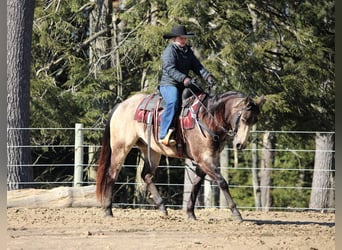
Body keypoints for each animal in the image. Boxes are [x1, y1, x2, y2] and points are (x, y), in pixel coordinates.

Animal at [95, 87, 266, 222]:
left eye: (255, 120)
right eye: (244, 118)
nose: (240, 144)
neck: (207, 118)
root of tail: (121, 105)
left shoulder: (205, 160)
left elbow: (196, 185)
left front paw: (190, 213)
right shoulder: (204, 160)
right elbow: (222, 182)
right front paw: (237, 213)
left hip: (152, 150)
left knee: (146, 175)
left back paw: (163, 208)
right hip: (121, 148)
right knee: (112, 174)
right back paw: (108, 210)